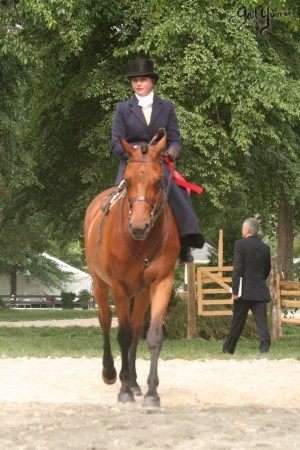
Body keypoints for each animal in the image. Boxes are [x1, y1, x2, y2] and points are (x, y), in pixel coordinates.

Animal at [83, 127, 179, 408]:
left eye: (158, 182)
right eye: (127, 180)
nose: (138, 227)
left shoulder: (161, 283)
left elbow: (152, 335)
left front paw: (151, 392)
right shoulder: (120, 287)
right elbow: (122, 335)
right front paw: (124, 388)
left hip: (142, 292)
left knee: (137, 329)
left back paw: (135, 382)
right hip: (100, 285)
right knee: (105, 321)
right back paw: (111, 373)